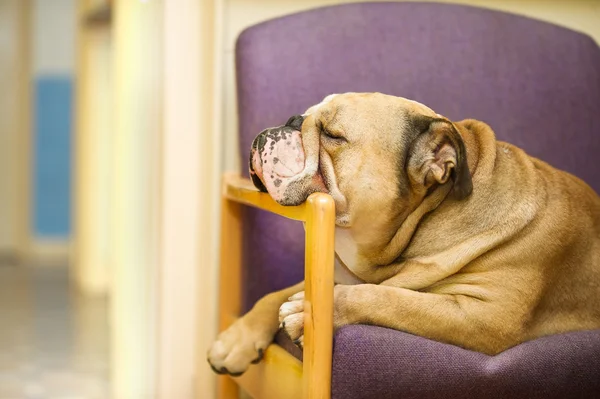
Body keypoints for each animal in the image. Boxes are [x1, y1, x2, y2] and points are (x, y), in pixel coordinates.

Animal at [207, 92, 600, 376]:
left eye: (332, 134)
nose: (290, 120)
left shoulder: (485, 315)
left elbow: (389, 299)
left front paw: (309, 311)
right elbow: (277, 293)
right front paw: (235, 340)